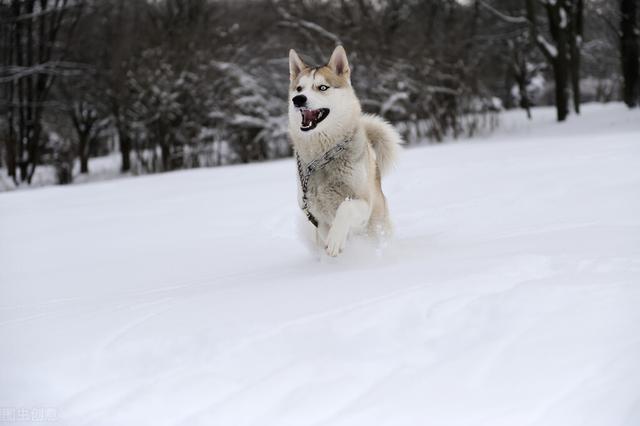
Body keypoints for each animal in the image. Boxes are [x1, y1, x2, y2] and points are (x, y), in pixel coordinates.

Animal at [288, 45, 400, 256]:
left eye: (322, 87)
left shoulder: (363, 203)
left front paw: (335, 240)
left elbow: (345, 208)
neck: (323, 157)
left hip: (378, 221)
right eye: (299, 88)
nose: (298, 99)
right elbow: (326, 231)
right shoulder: (316, 215)